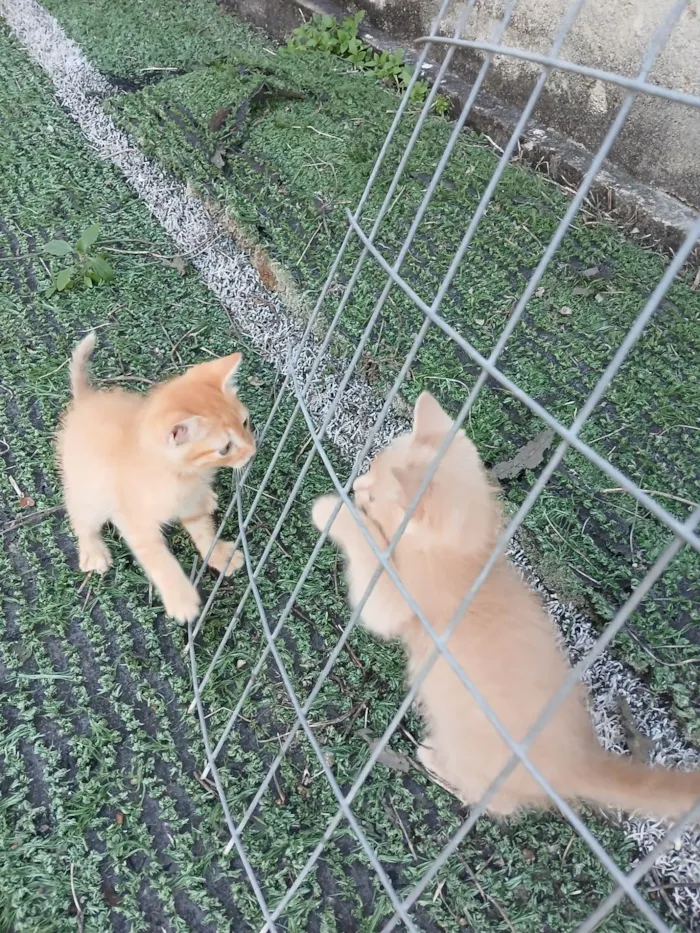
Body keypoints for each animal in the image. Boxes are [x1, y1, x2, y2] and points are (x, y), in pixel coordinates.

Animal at [56, 332, 256, 624]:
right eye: (225, 448)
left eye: (245, 423)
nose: (253, 452)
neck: (184, 474)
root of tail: (85, 401)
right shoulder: (133, 520)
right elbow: (158, 558)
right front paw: (181, 599)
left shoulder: (190, 501)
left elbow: (202, 528)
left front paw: (218, 554)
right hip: (88, 488)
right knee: (81, 516)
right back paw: (93, 550)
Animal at [314, 392, 700, 816]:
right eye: (370, 467)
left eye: (372, 495)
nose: (357, 485)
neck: (469, 556)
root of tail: (579, 762)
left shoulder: (402, 598)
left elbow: (374, 577)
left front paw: (333, 510)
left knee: (495, 803)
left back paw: (438, 761)